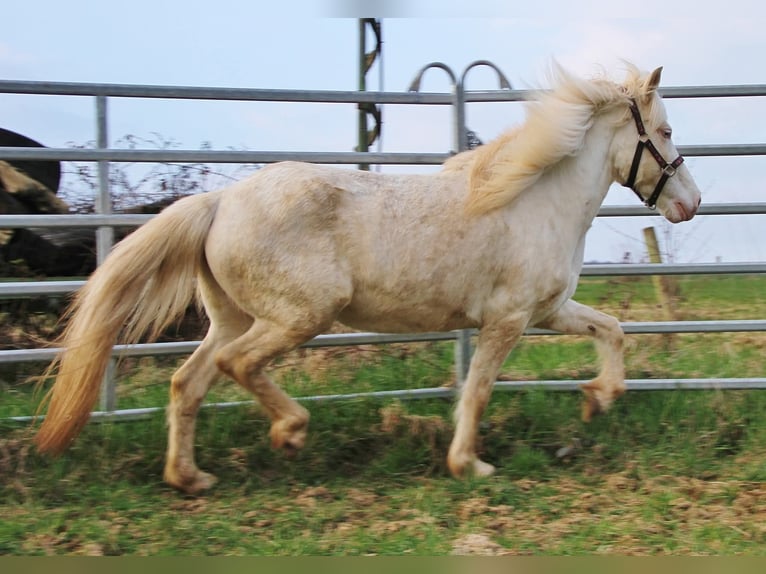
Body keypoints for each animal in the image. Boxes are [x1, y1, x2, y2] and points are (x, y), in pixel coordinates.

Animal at [34, 63, 701, 494]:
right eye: (666, 132)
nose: (690, 203)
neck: (534, 200)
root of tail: (220, 202)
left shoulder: (549, 310)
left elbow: (612, 330)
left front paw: (599, 397)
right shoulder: (507, 320)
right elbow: (477, 391)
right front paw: (469, 467)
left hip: (233, 317)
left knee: (187, 382)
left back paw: (190, 477)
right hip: (299, 315)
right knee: (236, 366)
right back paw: (289, 433)